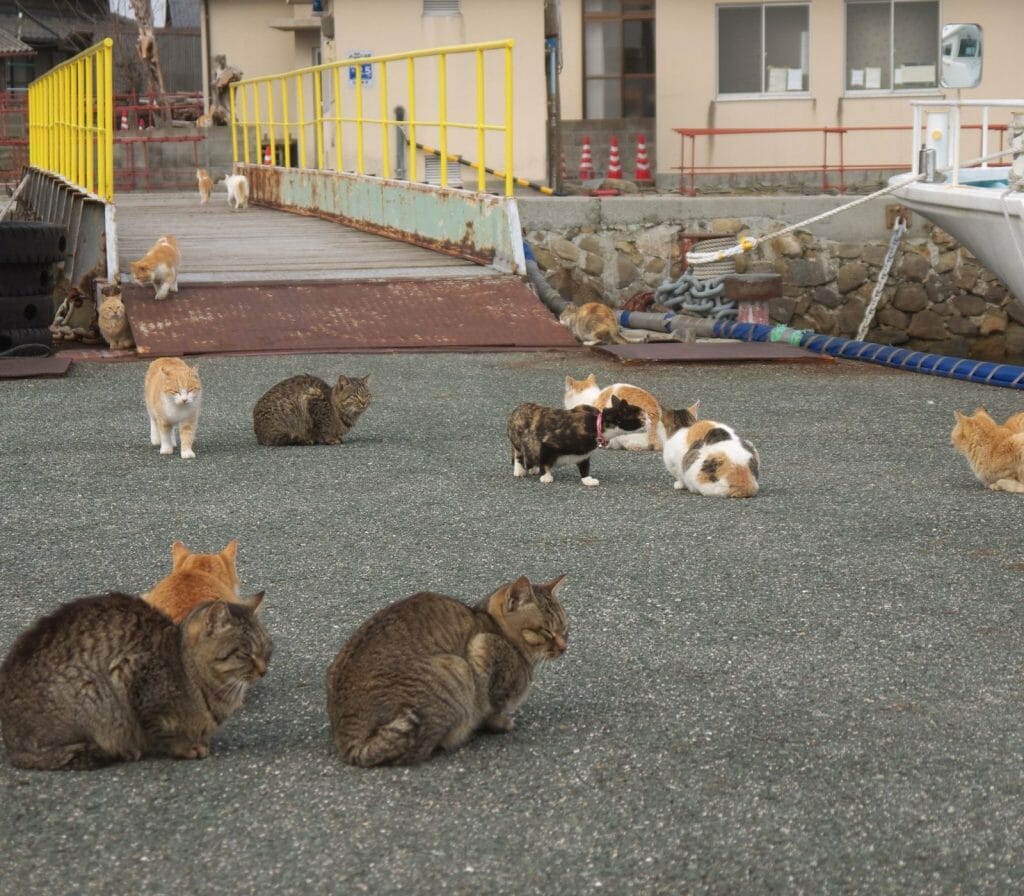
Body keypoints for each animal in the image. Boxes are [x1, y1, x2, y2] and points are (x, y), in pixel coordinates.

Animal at [0, 589, 272, 770]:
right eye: (245, 653)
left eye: (266, 649)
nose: (263, 670)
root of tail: (11, 743)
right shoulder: (130, 676)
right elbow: (163, 732)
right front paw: (187, 746)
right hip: (93, 697)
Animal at [325, 577, 569, 765]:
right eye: (547, 631)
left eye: (565, 628)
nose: (564, 647)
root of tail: (347, 735)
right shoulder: (483, 649)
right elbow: (491, 708)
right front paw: (500, 722)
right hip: (457, 671)